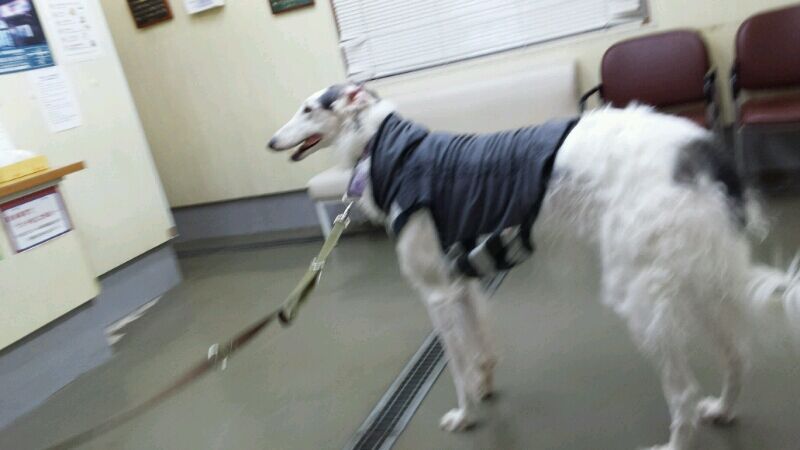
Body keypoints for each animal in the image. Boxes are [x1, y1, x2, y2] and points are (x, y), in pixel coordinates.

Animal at [268, 82, 800, 450]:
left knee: (685, 392)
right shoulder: (462, 285)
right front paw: (484, 388)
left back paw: (674, 442)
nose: (271, 142)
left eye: (308, 108)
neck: (390, 148)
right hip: (697, 275)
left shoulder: (437, 292)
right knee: (735, 355)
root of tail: (704, 151)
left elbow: (457, 367)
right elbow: (480, 351)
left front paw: (465, 416)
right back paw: (723, 410)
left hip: (643, 294)